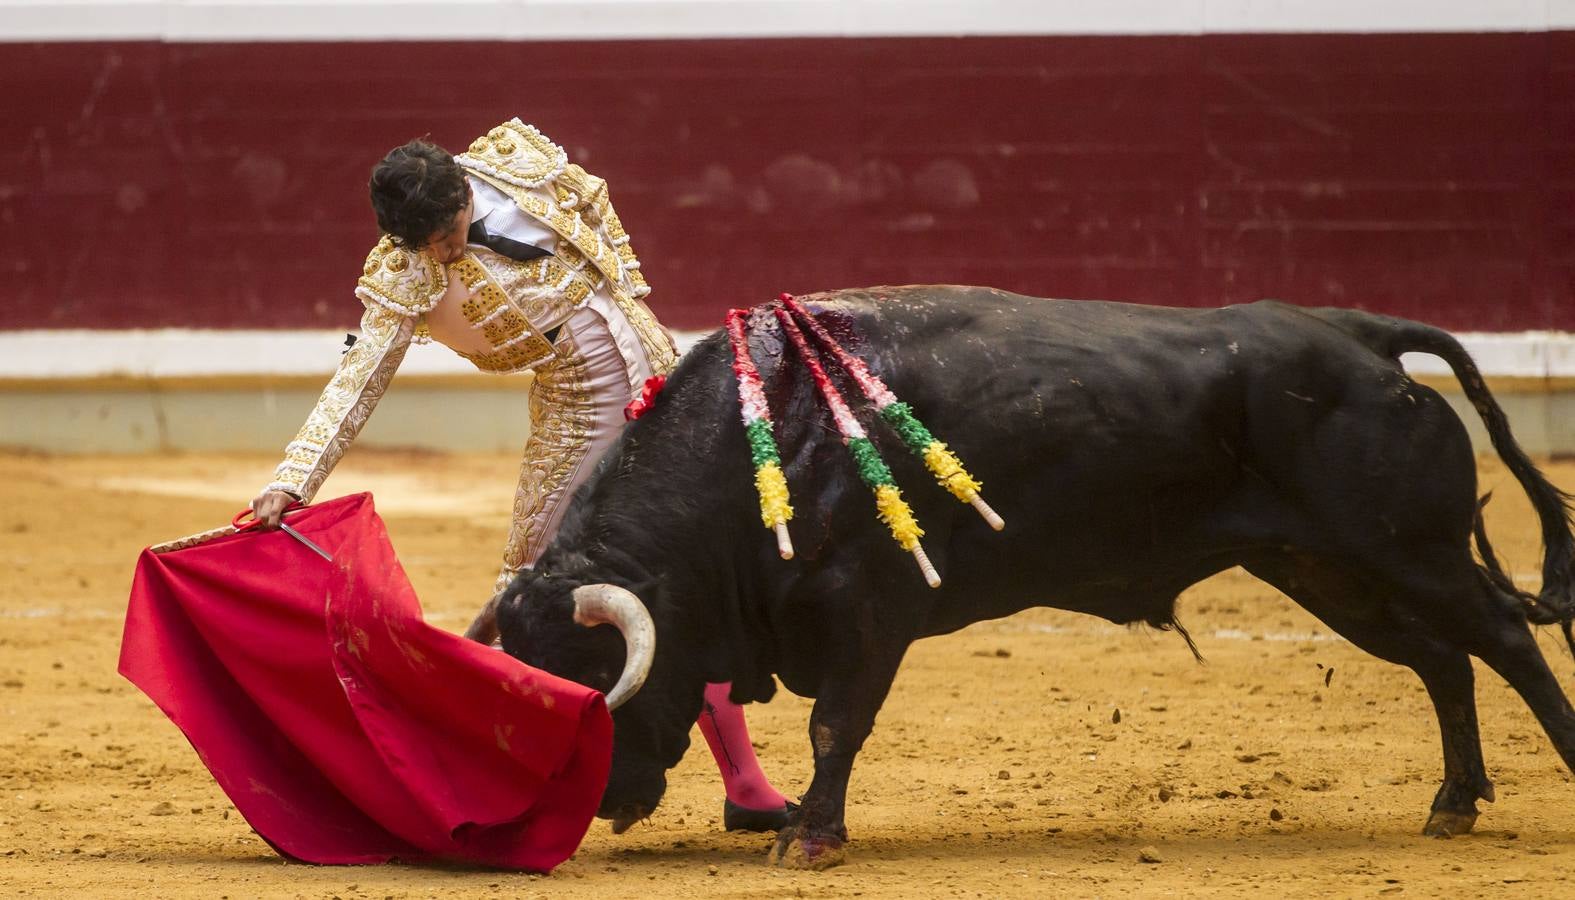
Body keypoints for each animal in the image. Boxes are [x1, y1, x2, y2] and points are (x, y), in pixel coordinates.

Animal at [491, 285, 1575, 870]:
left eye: (593, 682)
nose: (595, 805)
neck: (769, 432)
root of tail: (1358, 334)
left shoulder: (869, 615)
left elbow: (835, 723)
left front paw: (809, 836)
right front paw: (797, 820)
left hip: (1408, 552)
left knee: (1502, 638)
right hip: (1325, 570)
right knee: (1443, 660)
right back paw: (1452, 802)